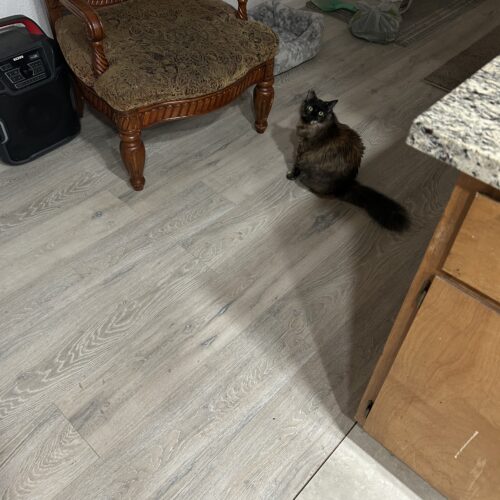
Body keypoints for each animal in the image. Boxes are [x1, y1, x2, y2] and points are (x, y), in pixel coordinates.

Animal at [287, 90, 410, 232]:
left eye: (321, 113)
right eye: (310, 108)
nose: (313, 116)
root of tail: (346, 184)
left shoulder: (302, 151)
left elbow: (296, 165)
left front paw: (291, 175)